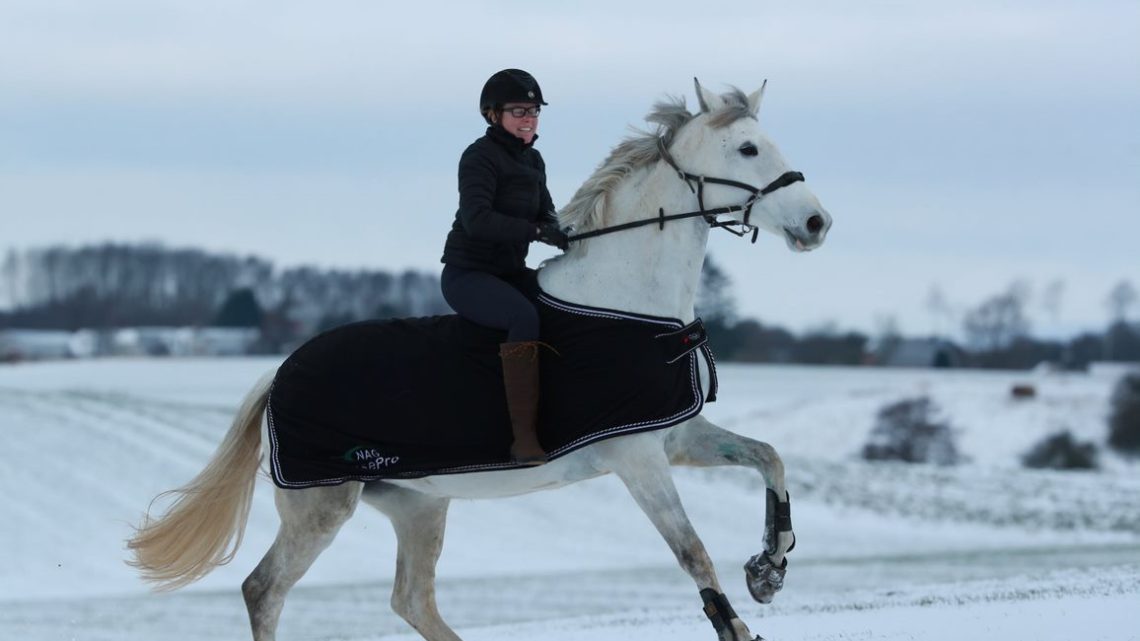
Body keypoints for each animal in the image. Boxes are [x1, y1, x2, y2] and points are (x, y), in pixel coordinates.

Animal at [129, 79, 834, 638]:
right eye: (748, 149)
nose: (817, 223)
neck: (627, 303)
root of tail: (278, 375)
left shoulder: (676, 439)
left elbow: (770, 458)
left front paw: (770, 567)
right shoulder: (636, 458)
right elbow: (692, 553)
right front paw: (741, 617)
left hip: (417, 506)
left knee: (411, 599)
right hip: (322, 506)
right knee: (264, 590)